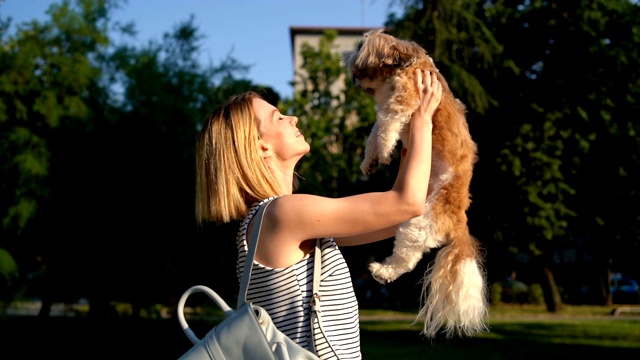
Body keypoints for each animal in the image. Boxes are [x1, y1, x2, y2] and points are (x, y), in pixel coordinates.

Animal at [344, 29, 490, 338]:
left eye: (361, 46)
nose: (349, 53)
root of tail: (459, 223)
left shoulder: (402, 101)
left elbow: (386, 129)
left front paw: (383, 151)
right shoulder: (386, 110)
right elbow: (374, 133)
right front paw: (370, 161)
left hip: (418, 224)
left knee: (406, 259)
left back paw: (381, 271)